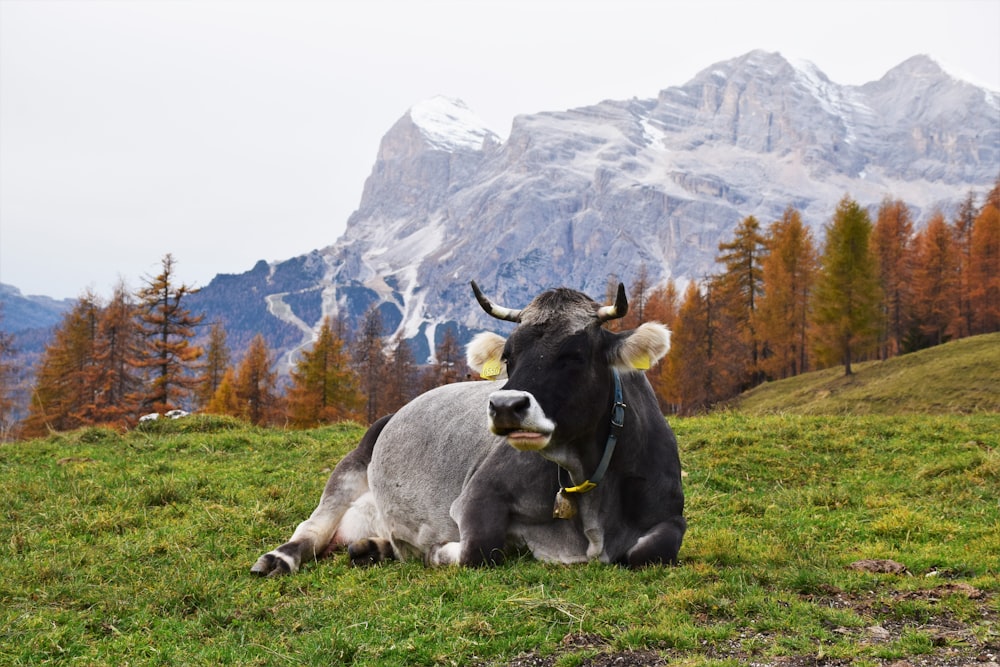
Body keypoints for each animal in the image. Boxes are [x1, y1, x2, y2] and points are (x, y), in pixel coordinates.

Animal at [252, 282, 688, 576]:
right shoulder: (478, 494)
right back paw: (278, 558)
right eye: (509, 356)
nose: (505, 405)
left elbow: (649, 551)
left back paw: (374, 547)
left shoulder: (671, 514)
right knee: (312, 528)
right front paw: (437, 552)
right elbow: (479, 549)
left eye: (574, 355)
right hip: (349, 471)